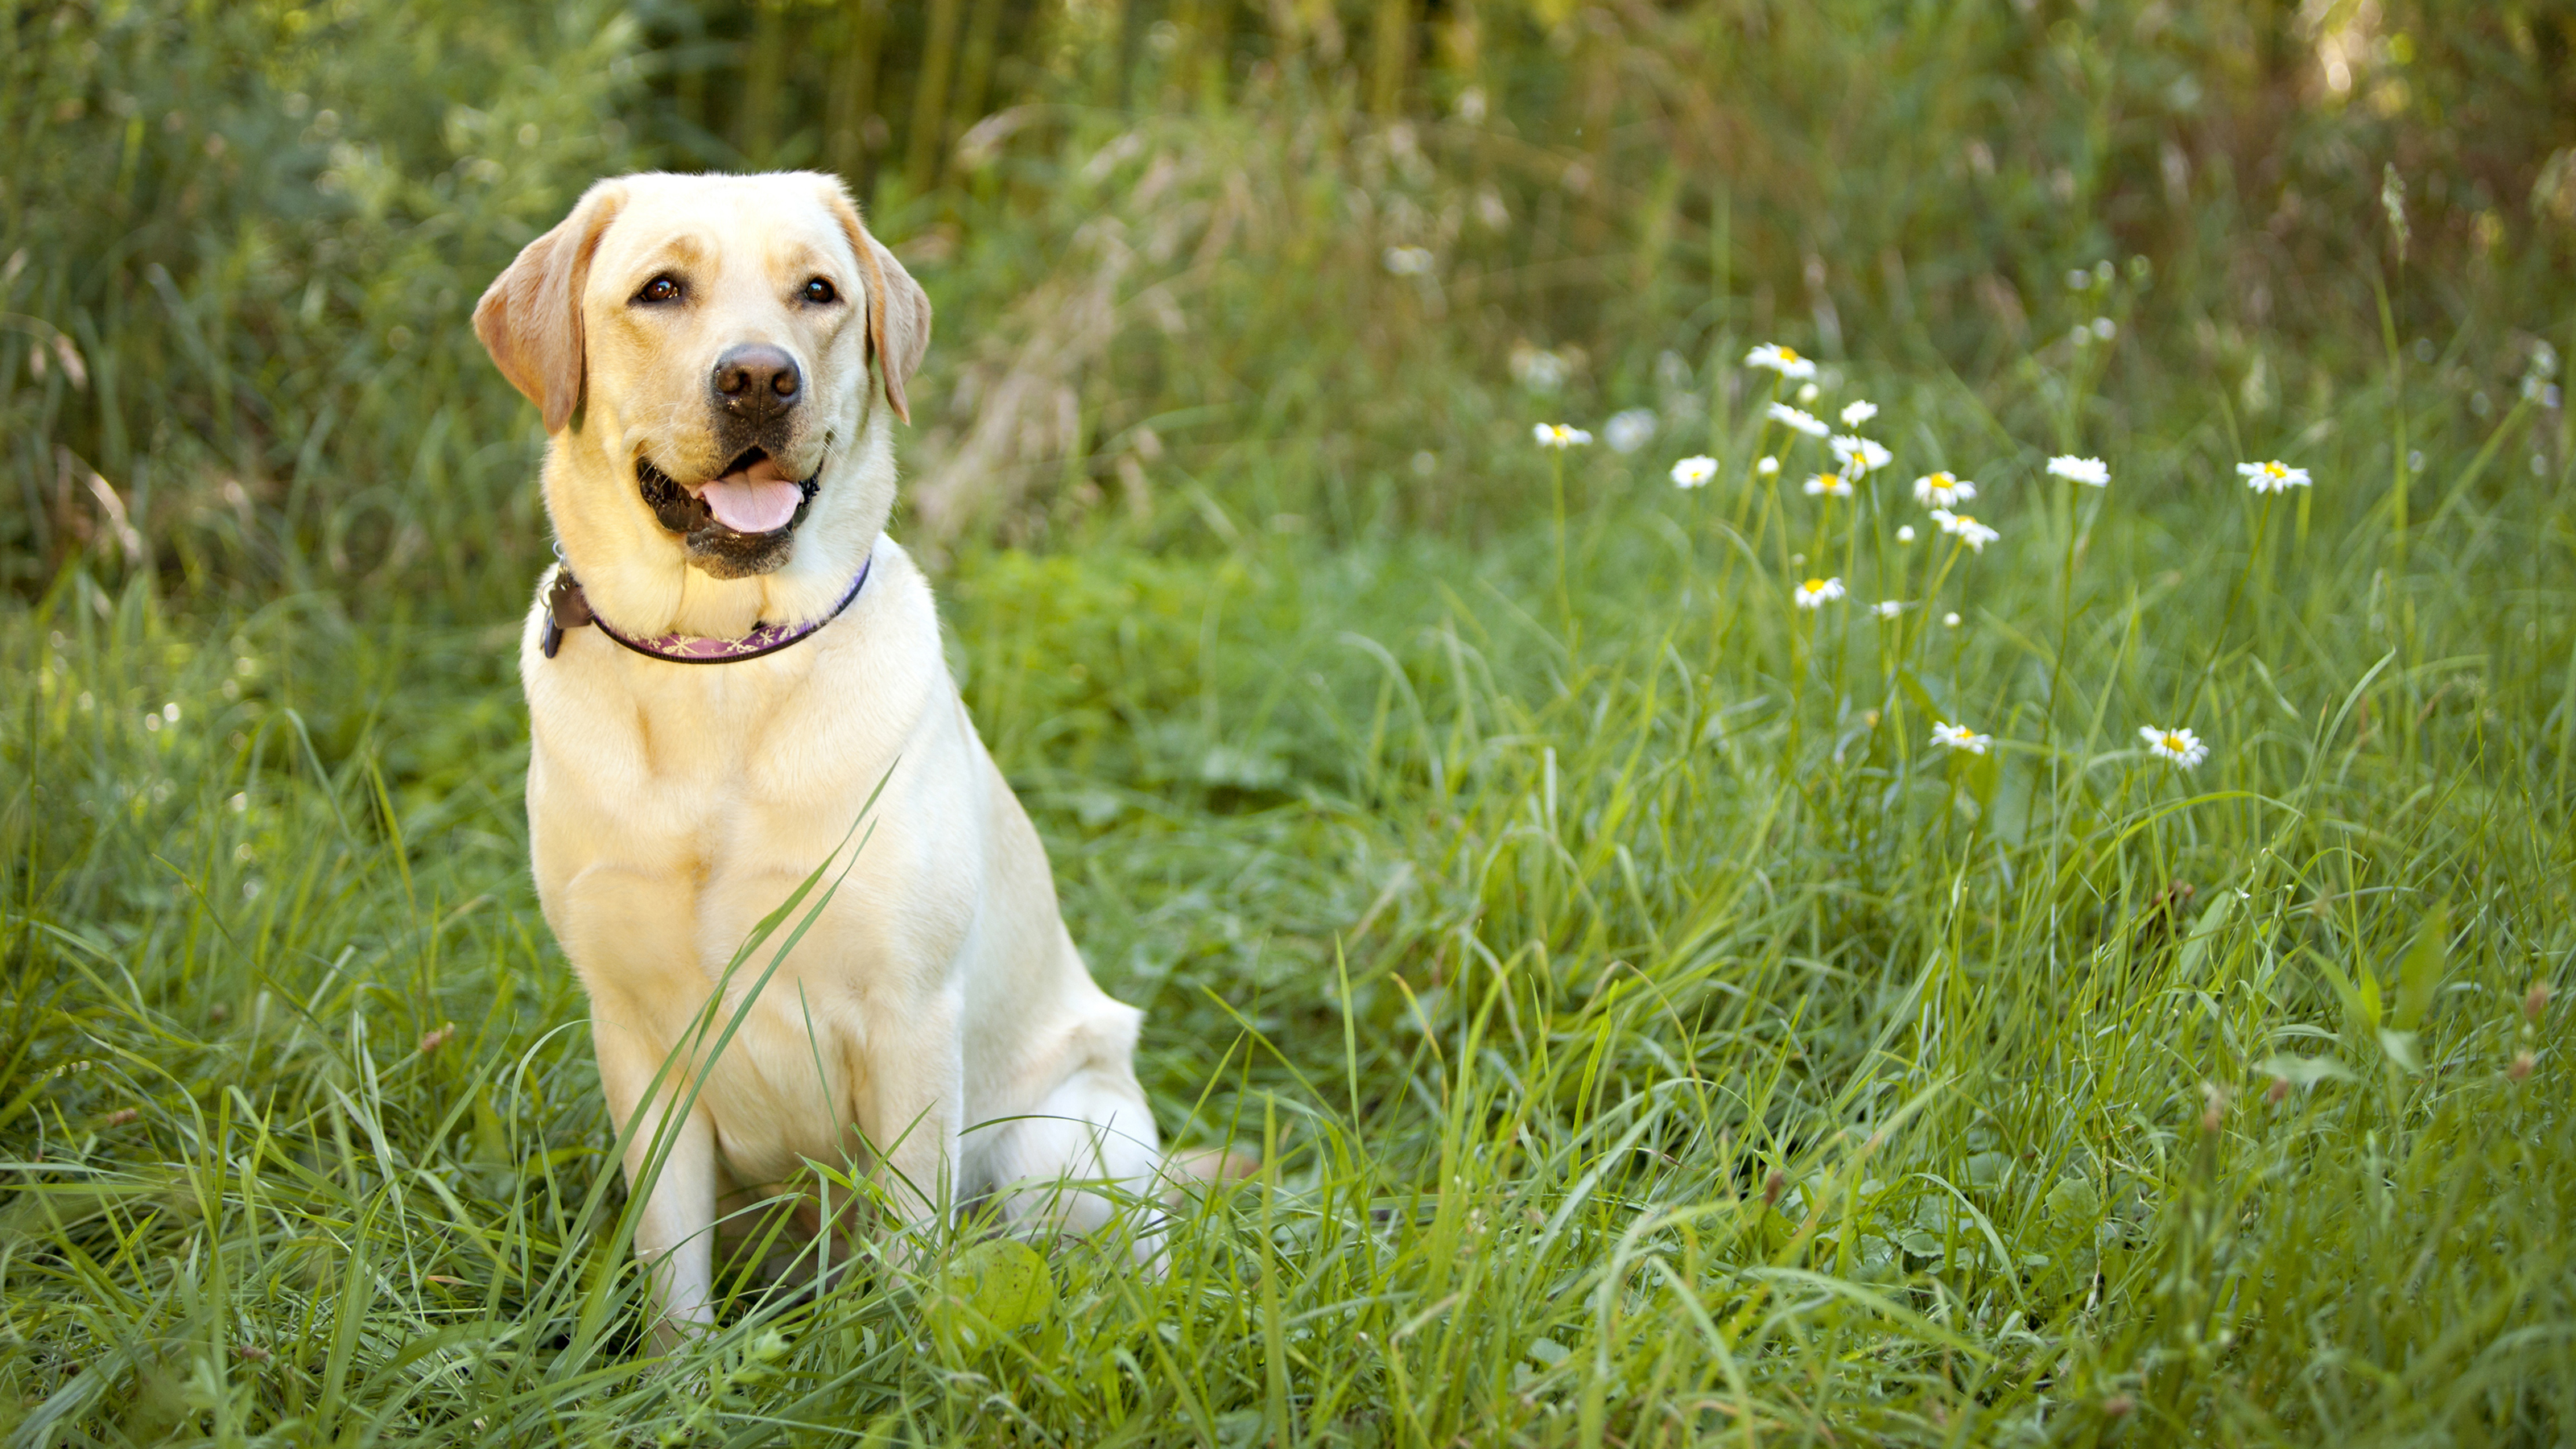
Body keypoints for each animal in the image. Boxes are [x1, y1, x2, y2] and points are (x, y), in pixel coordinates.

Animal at [473, 171, 1169, 1340]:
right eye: (661, 288)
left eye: (818, 292)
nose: (761, 378)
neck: (721, 664)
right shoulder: (636, 1037)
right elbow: (672, 1272)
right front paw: (679, 1372)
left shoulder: (908, 1019)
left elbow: (906, 1248)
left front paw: (890, 1361)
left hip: (1063, 1141)